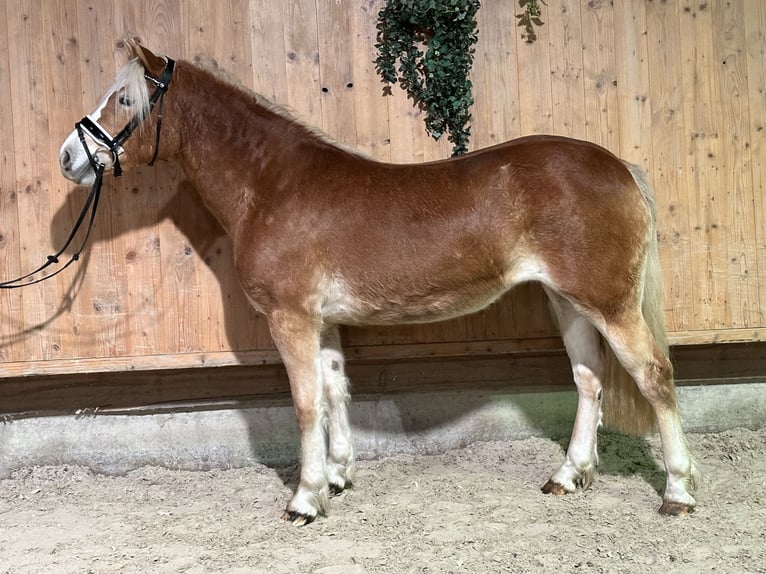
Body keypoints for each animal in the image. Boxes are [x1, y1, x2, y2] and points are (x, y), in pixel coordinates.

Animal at [57, 40, 700, 528]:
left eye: (124, 99)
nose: (68, 157)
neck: (271, 185)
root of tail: (618, 167)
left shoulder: (291, 318)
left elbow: (305, 404)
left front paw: (305, 499)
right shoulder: (322, 322)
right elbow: (335, 391)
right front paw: (338, 478)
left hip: (610, 305)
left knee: (654, 377)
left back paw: (677, 491)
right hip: (567, 301)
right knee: (589, 380)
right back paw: (568, 475)